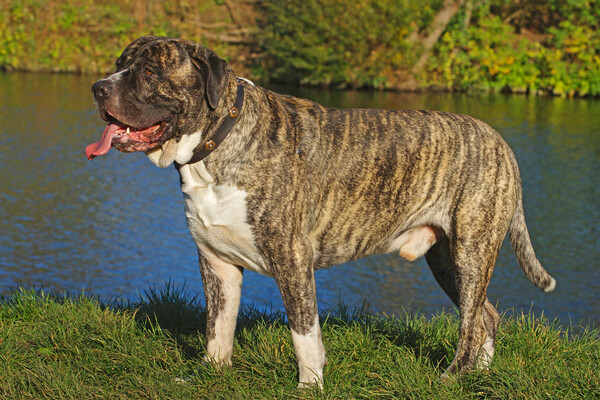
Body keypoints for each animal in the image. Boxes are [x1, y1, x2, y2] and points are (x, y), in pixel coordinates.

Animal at [86, 36, 556, 388]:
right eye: (119, 64)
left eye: (150, 73)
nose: (99, 87)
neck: (217, 144)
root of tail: (499, 140)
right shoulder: (216, 263)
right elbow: (217, 328)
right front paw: (210, 375)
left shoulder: (292, 262)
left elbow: (304, 333)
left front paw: (309, 386)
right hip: (446, 260)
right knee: (485, 317)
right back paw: (479, 375)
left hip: (471, 250)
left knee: (471, 321)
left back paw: (452, 377)